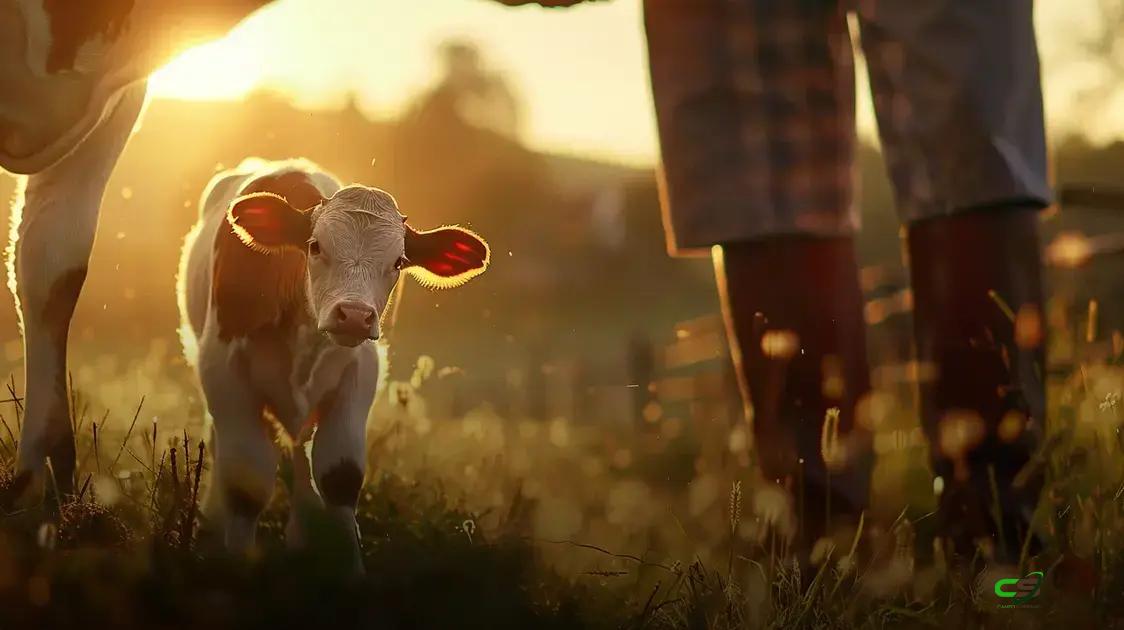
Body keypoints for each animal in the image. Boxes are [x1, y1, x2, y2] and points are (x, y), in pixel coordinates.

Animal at [177, 158, 489, 563]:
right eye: (315, 246)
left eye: (399, 261)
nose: (354, 315)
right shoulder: (223, 369)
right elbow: (246, 480)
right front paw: (236, 560)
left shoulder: (360, 372)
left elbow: (339, 475)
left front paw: (349, 569)